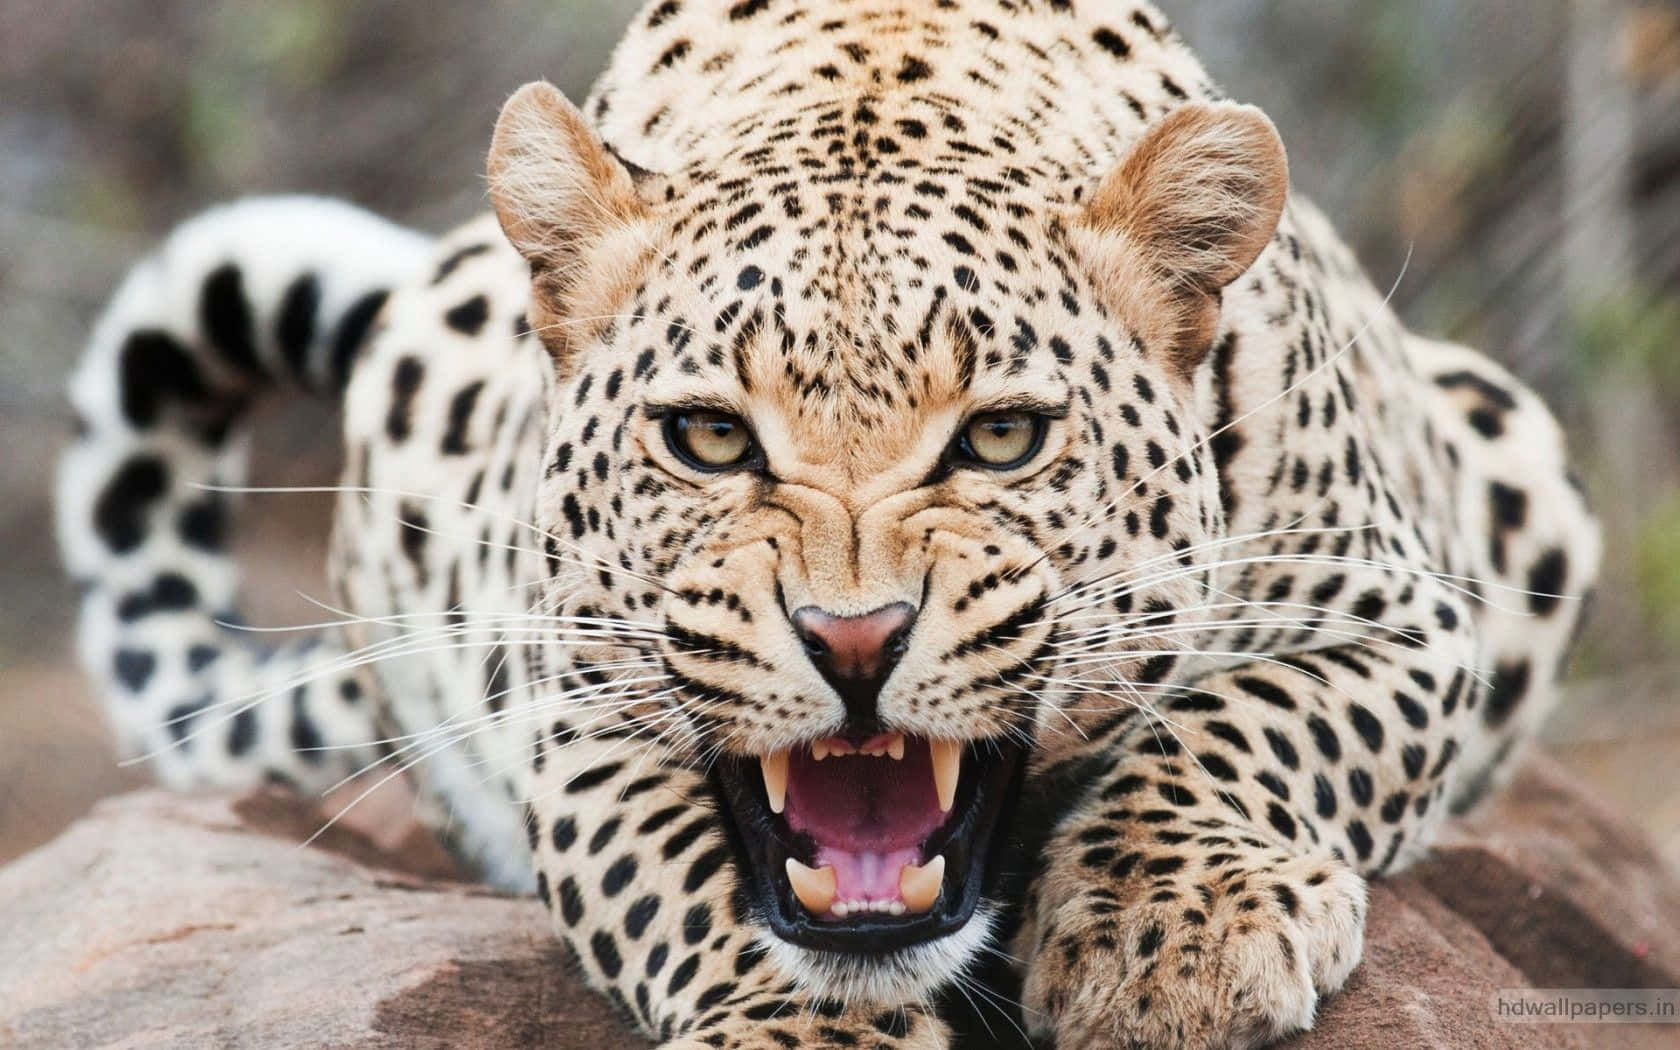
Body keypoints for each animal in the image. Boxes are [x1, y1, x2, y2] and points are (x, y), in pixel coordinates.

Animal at [55, 4, 1599, 1041]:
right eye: (708, 437)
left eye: (1001, 437)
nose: (854, 640)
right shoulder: (573, 702)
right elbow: (681, 875)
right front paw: (802, 1028)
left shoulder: (1403, 615)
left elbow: (1250, 725)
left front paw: (1173, 941)